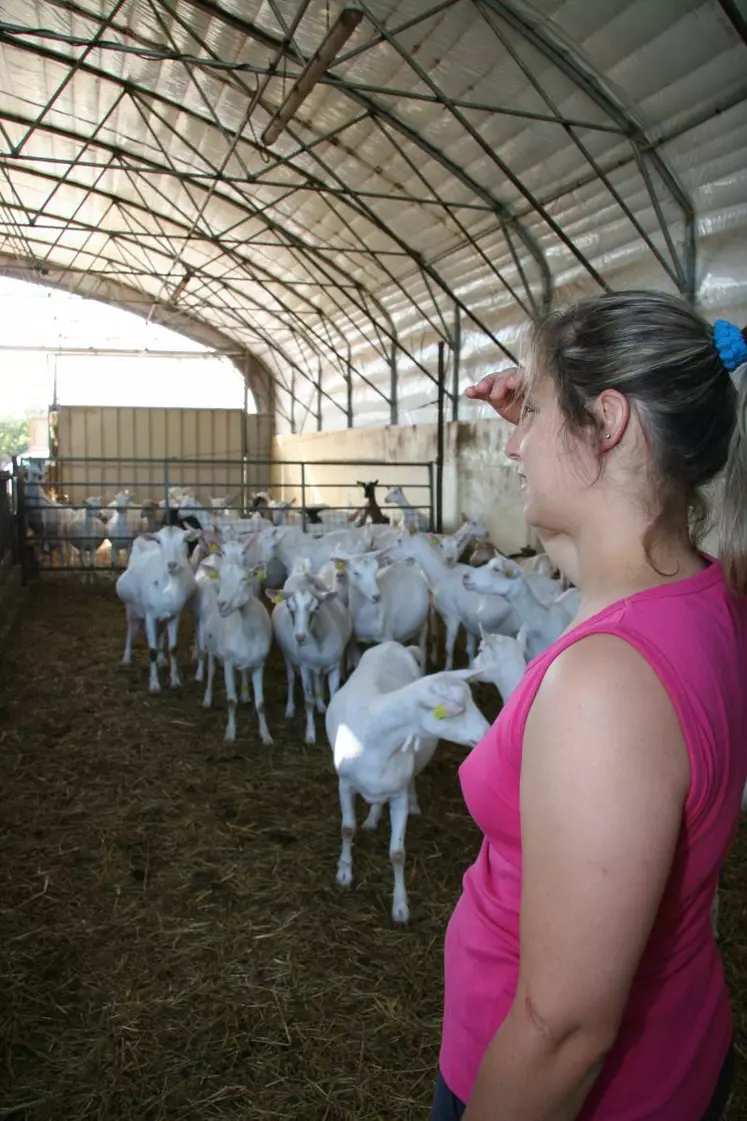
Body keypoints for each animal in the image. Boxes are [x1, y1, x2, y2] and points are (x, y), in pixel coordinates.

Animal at [114, 524, 196, 690]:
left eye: (184, 539)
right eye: (159, 541)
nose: (172, 564)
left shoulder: (174, 615)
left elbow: (173, 649)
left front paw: (175, 681)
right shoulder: (150, 615)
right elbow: (151, 651)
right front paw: (154, 685)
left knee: (160, 633)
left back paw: (162, 659)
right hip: (132, 609)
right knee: (131, 630)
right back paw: (126, 658)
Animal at [325, 645, 489, 923]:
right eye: (458, 710)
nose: (488, 733)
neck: (376, 737)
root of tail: (391, 645)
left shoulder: (398, 795)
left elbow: (397, 854)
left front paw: (400, 906)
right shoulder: (344, 784)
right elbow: (347, 829)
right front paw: (344, 873)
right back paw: (372, 819)